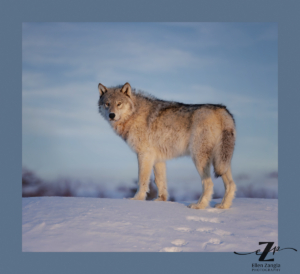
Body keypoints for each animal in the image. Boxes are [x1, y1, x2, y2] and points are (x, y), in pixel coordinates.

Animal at [98, 82, 237, 209]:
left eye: (119, 103)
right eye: (107, 104)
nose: (111, 115)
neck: (134, 113)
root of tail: (223, 110)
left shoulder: (144, 154)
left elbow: (142, 180)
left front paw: (137, 199)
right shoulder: (158, 158)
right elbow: (160, 181)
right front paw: (161, 200)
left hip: (200, 159)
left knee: (208, 183)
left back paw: (199, 205)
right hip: (221, 162)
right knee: (231, 184)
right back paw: (223, 206)